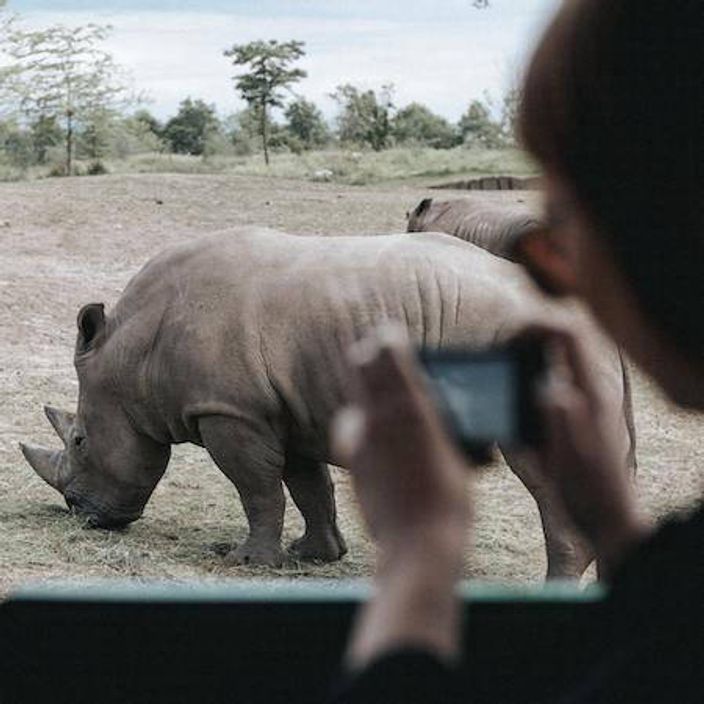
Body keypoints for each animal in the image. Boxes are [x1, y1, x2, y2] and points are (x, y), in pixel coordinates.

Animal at [21, 228, 635, 577]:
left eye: (80, 440)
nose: (82, 515)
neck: (134, 353)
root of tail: (589, 319)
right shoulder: (286, 406)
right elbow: (307, 483)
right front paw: (313, 556)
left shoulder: (230, 409)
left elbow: (257, 487)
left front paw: (246, 562)